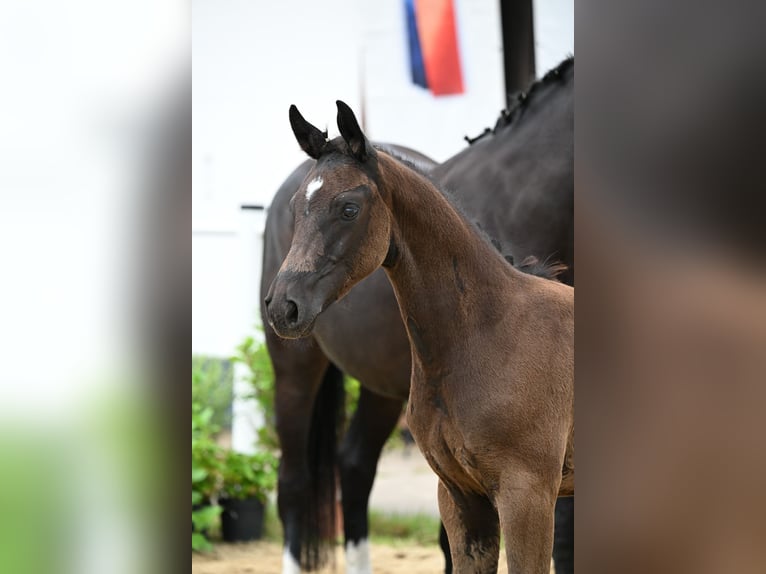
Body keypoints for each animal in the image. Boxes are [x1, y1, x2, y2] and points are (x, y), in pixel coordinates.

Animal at [260, 59, 573, 573]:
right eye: (297, 208)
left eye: (349, 207)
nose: (283, 305)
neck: (488, 330)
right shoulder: (463, 495)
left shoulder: (528, 495)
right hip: (295, 367)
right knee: (296, 483)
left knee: (353, 465)